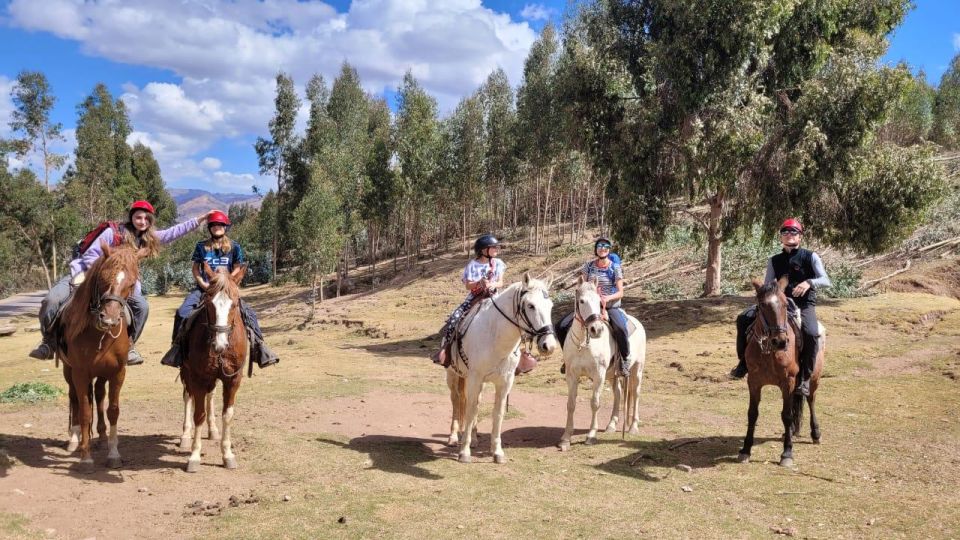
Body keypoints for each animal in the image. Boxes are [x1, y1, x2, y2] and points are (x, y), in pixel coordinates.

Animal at [59, 243, 146, 470]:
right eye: (103, 278)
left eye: (131, 283)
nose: (109, 319)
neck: (100, 335)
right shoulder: (80, 373)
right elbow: (84, 411)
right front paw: (86, 457)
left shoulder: (117, 372)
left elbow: (112, 410)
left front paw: (113, 454)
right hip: (68, 371)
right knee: (75, 399)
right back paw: (75, 440)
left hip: (101, 373)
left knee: (98, 395)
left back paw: (102, 436)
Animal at [179, 262, 248, 472]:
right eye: (209, 304)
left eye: (235, 303)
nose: (220, 344)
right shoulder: (197, 377)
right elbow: (198, 414)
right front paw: (194, 456)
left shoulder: (233, 379)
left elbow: (227, 414)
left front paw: (227, 454)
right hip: (187, 374)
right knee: (188, 397)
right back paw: (185, 436)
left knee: (210, 396)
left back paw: (213, 430)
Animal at [446, 274, 560, 464]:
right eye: (530, 305)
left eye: (550, 305)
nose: (548, 346)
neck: (495, 337)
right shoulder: (475, 378)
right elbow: (470, 410)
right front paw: (464, 452)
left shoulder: (505, 382)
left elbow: (497, 414)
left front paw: (497, 452)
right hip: (453, 375)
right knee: (456, 400)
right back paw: (454, 437)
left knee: (474, 402)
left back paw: (475, 439)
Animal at [560, 276, 648, 450]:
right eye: (581, 301)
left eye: (600, 302)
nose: (596, 329)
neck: (583, 343)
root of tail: (638, 323)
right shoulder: (571, 375)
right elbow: (570, 404)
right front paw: (566, 438)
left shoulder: (598, 375)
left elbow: (595, 403)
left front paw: (591, 435)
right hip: (613, 374)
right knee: (618, 393)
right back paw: (611, 425)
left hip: (637, 369)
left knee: (635, 393)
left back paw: (633, 427)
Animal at [740, 276, 820, 466]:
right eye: (762, 305)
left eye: (784, 304)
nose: (780, 341)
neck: (770, 353)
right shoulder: (753, 382)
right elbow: (752, 414)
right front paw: (746, 450)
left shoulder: (788, 382)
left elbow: (787, 415)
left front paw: (787, 453)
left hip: (813, 379)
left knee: (811, 400)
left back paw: (815, 433)